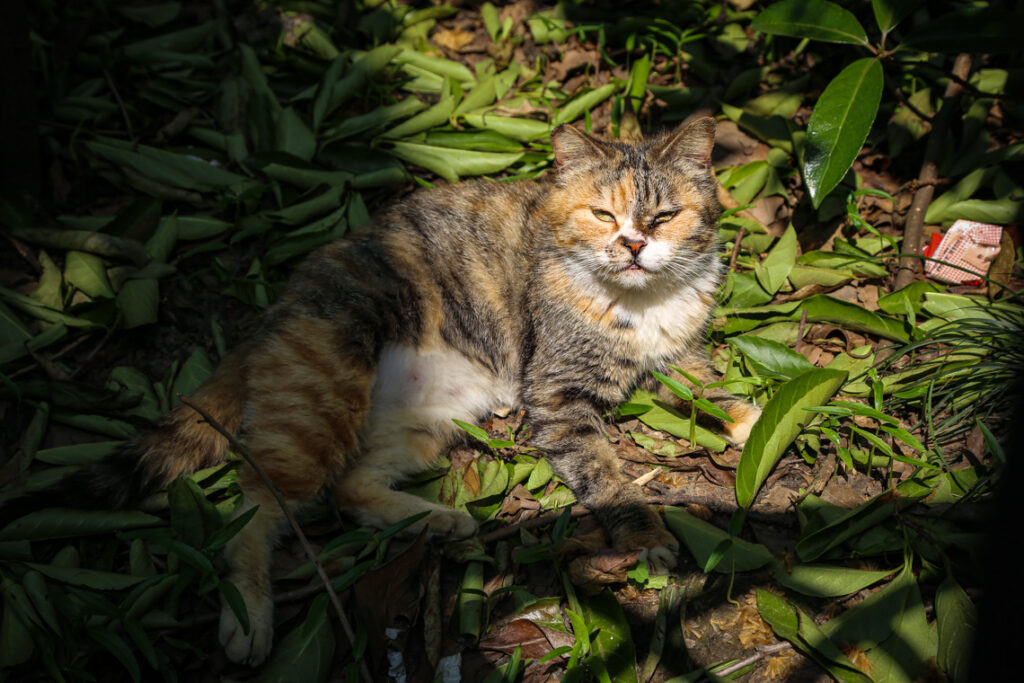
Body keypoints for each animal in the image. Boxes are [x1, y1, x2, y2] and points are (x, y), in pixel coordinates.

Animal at [8, 116, 765, 663]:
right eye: (603, 216)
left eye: (663, 218)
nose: (634, 246)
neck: (641, 302)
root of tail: (274, 313)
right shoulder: (556, 395)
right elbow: (608, 474)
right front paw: (646, 531)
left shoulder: (675, 353)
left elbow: (701, 383)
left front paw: (746, 418)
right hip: (322, 405)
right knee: (256, 506)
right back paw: (249, 618)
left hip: (431, 417)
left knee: (348, 489)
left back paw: (440, 520)